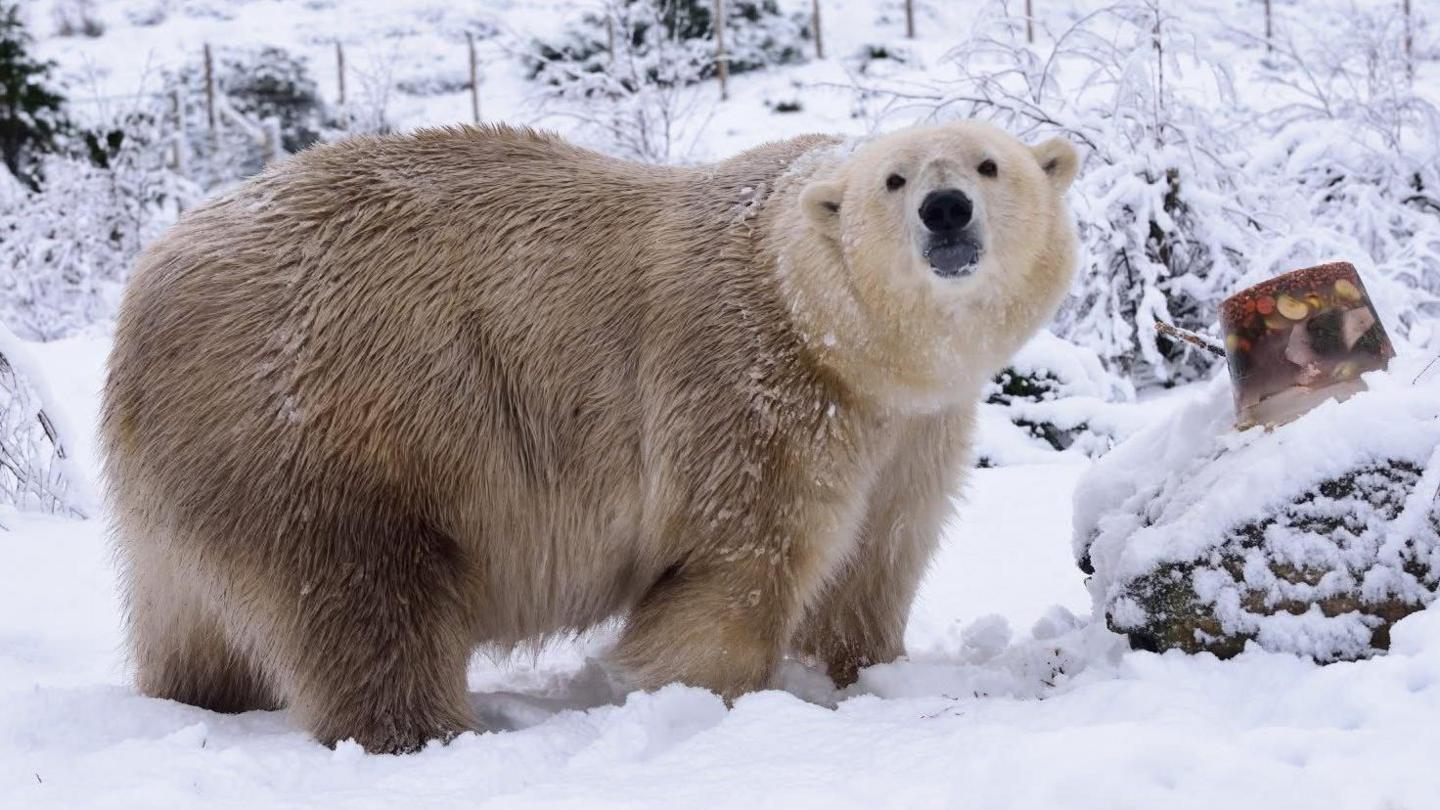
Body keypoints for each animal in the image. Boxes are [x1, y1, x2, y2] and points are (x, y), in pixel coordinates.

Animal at [104, 119, 1082, 749]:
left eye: (990, 164)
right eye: (894, 178)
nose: (946, 209)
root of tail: (148, 288)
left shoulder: (914, 427)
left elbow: (877, 556)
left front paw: (867, 669)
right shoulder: (750, 386)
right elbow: (738, 564)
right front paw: (706, 697)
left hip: (200, 466)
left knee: (191, 618)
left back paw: (202, 699)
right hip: (334, 424)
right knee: (364, 594)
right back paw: (427, 731)